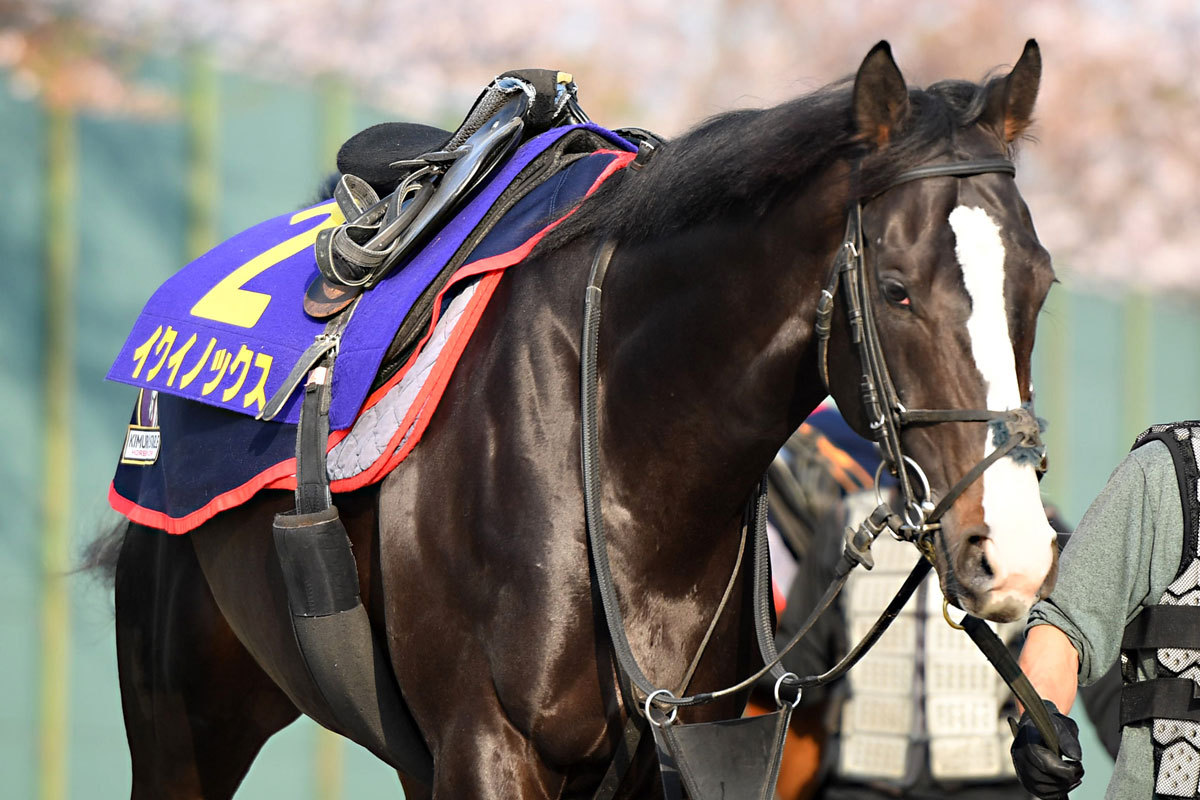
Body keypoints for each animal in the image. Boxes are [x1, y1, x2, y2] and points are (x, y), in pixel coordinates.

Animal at [105, 42, 1060, 800]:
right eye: (896, 289)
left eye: (1041, 283)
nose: (1013, 552)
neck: (618, 459)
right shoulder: (488, 748)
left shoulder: (666, 752)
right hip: (183, 725)